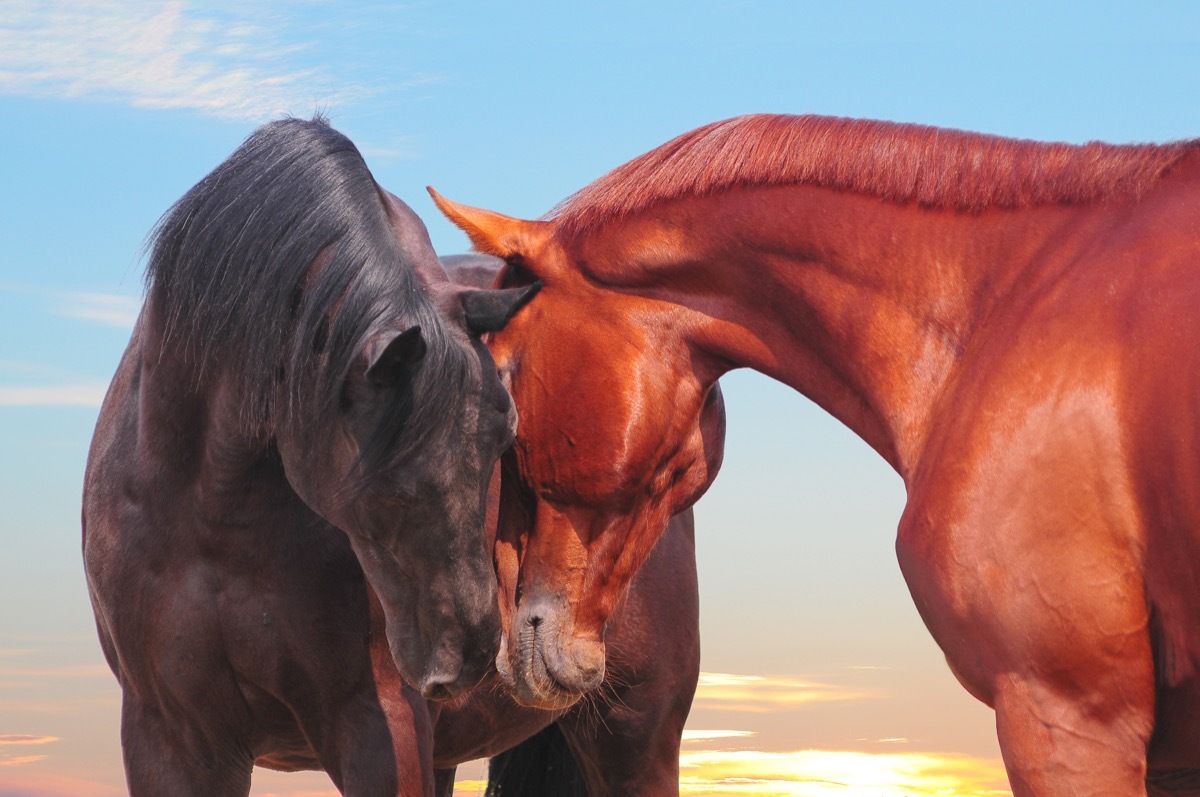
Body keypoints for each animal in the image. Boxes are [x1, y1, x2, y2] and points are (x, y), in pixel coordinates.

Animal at [82, 117, 537, 796]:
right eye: (386, 482)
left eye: (504, 440)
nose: (472, 653)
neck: (217, 508)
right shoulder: (171, 735)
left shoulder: (381, 721)